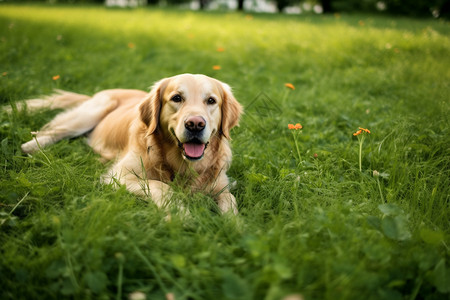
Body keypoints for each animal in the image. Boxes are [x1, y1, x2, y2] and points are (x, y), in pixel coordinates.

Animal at [17, 74, 244, 214]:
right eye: (177, 98)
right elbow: (160, 185)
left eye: (211, 101)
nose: (195, 124)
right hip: (90, 113)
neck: (181, 165)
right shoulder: (117, 176)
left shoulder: (221, 185)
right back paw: (32, 147)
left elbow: (231, 201)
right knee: (48, 131)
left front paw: (234, 227)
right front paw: (180, 213)